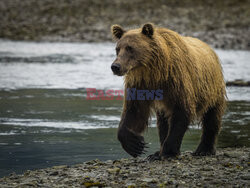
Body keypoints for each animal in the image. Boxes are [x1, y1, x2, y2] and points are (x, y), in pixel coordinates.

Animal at [111, 22, 227, 159]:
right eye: (117, 49)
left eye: (130, 48)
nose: (115, 66)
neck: (155, 72)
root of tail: (210, 48)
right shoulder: (140, 84)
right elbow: (134, 111)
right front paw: (136, 145)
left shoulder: (177, 80)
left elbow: (182, 111)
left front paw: (168, 151)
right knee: (162, 122)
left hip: (212, 88)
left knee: (212, 117)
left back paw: (204, 149)